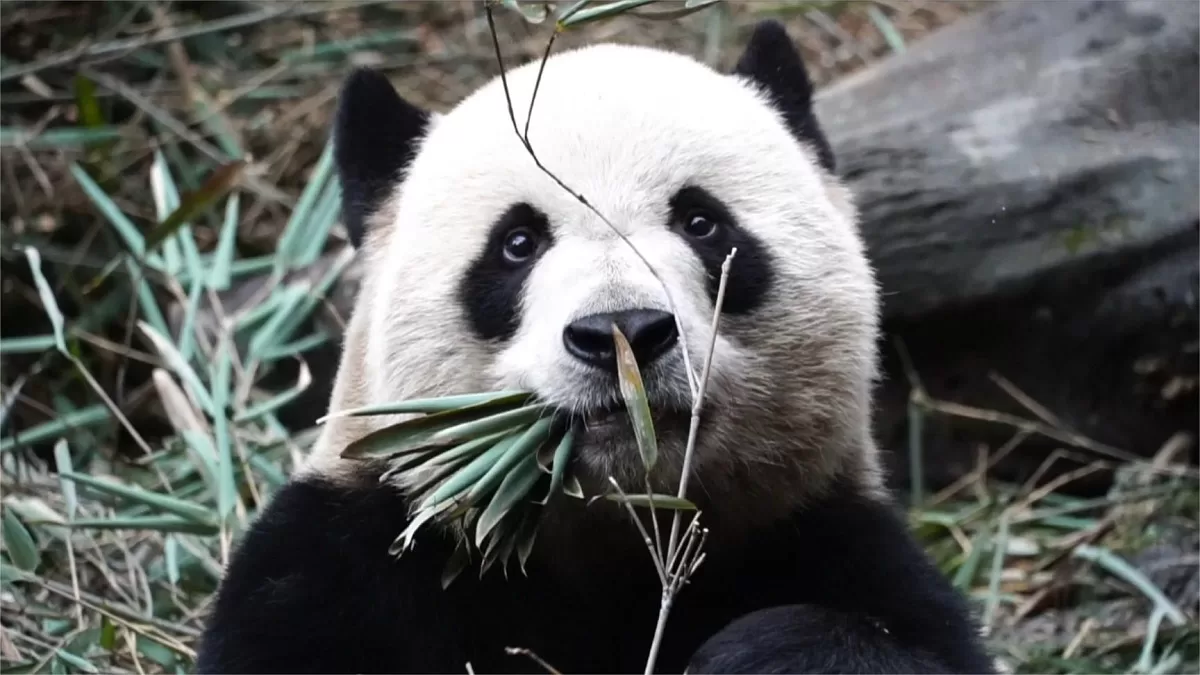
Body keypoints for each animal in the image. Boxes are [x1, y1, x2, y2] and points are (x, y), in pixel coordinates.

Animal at [196, 20, 996, 675]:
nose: (625, 333)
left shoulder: (817, 530)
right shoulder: (356, 552)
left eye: (702, 222)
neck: (614, 527)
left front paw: (770, 650)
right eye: (517, 243)